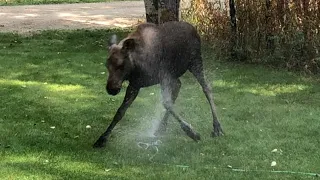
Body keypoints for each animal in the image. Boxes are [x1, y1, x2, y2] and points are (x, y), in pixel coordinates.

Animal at [92, 21, 224, 148]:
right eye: (106, 65)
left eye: (120, 65)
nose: (111, 89)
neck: (136, 65)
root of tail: (195, 29)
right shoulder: (135, 84)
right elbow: (120, 111)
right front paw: (102, 138)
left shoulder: (163, 76)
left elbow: (166, 103)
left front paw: (192, 132)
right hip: (175, 75)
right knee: (179, 86)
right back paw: (161, 127)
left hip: (195, 62)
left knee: (206, 88)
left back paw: (217, 126)